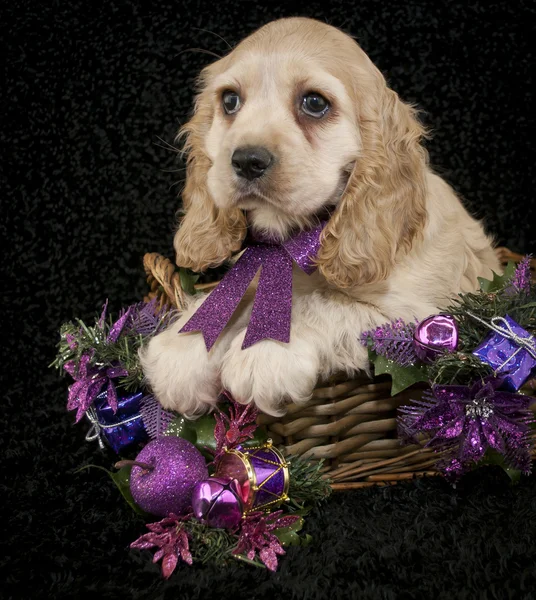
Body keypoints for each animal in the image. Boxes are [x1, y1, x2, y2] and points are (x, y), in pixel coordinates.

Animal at [140, 15, 500, 418]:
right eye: (230, 101)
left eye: (314, 103)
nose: (247, 159)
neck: (296, 241)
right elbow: (227, 297)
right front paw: (182, 347)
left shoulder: (421, 315)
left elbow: (324, 304)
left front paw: (265, 351)